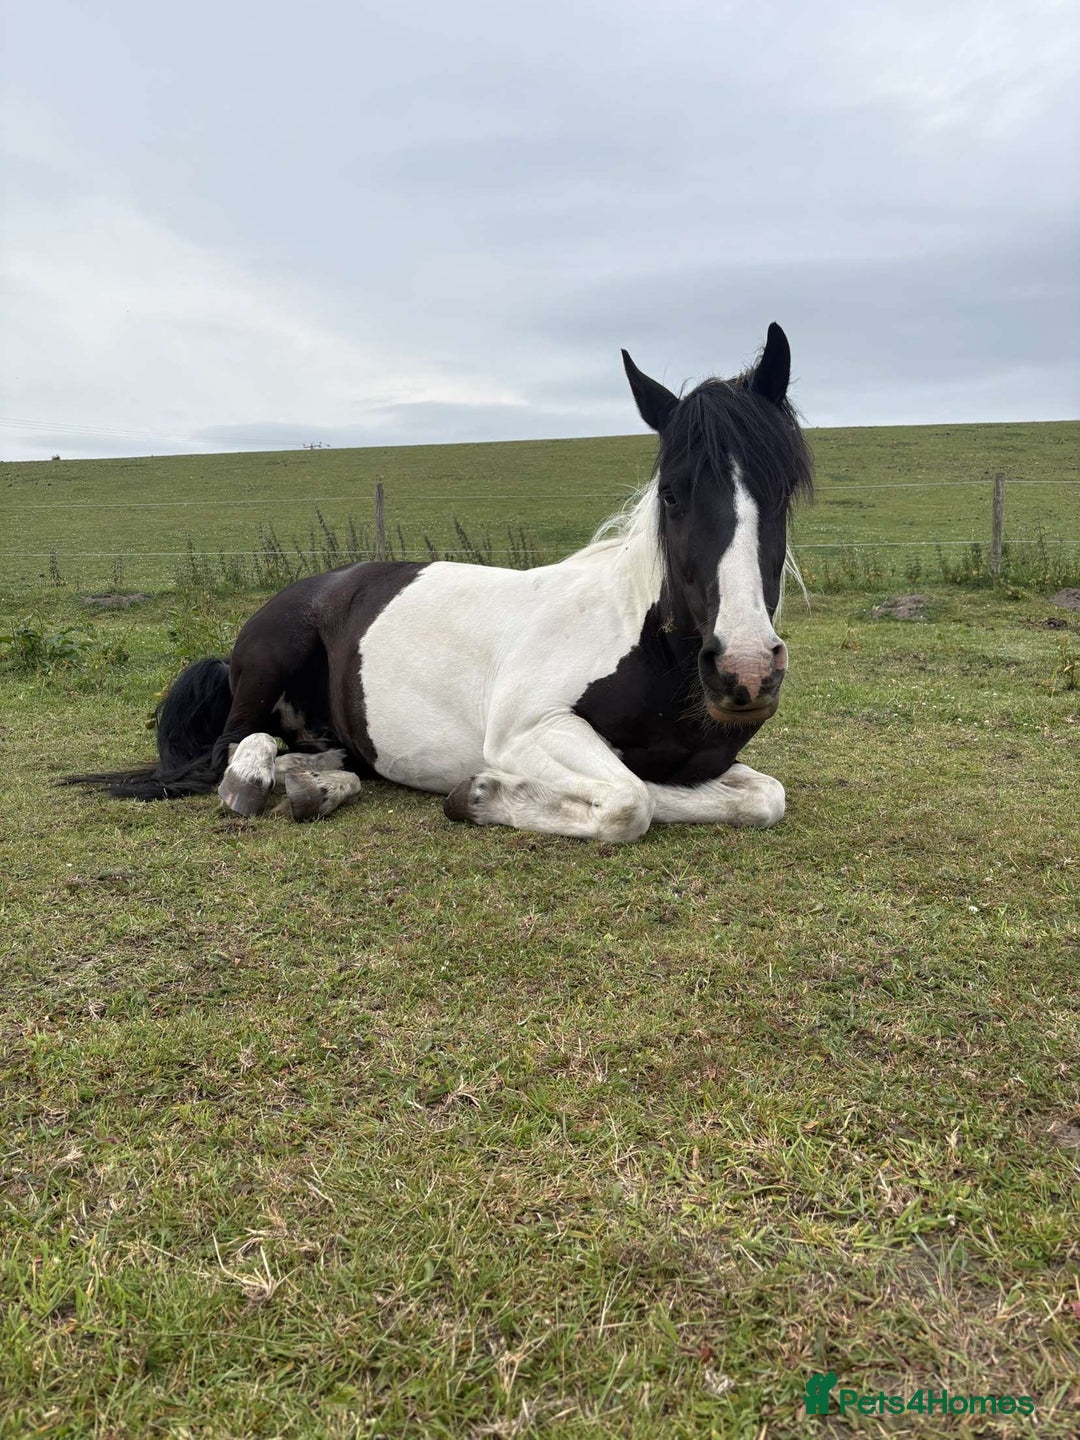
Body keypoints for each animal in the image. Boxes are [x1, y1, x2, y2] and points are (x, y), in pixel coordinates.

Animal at [69, 324, 813, 841]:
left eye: (783, 491)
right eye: (672, 495)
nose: (746, 670)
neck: (647, 645)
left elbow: (760, 797)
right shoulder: (528, 731)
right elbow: (632, 799)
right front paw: (480, 795)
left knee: (317, 755)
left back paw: (318, 787)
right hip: (270, 661)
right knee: (235, 746)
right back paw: (253, 782)